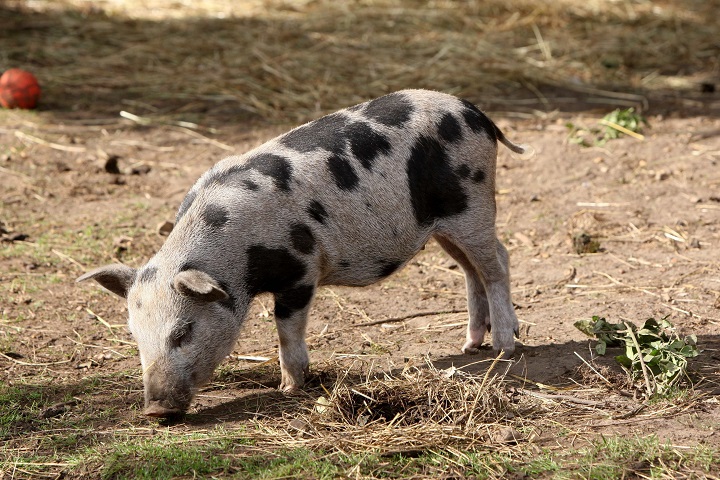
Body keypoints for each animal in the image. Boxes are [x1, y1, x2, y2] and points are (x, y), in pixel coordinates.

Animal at [77, 89, 527, 418]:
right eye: (135, 336)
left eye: (182, 332)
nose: (154, 410)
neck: (236, 253)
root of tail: (476, 113)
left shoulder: (301, 268)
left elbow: (286, 327)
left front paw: (289, 388)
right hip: (443, 225)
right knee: (470, 270)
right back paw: (469, 345)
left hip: (472, 203)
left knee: (498, 263)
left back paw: (504, 347)